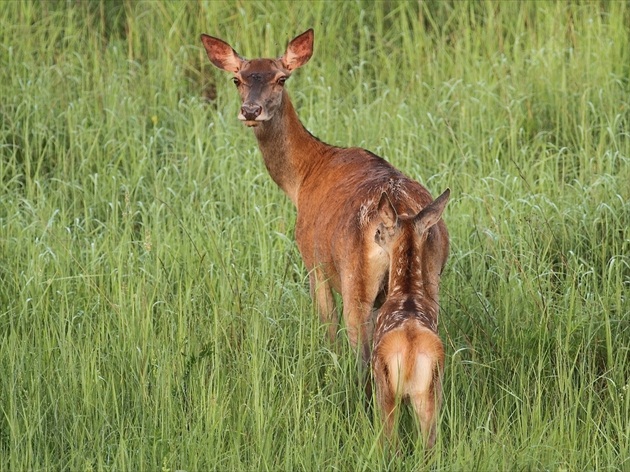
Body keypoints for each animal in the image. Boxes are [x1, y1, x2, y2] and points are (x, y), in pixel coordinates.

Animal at [202, 29, 450, 362]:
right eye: (237, 79)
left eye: (281, 78)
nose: (251, 111)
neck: (302, 177)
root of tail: (401, 216)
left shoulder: (312, 260)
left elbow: (328, 330)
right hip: (431, 279)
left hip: (355, 282)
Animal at [372, 188, 452, 446]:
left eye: (381, 229)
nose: (375, 235)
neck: (406, 291)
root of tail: (409, 350)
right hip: (430, 391)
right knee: (430, 444)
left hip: (386, 389)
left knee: (391, 443)